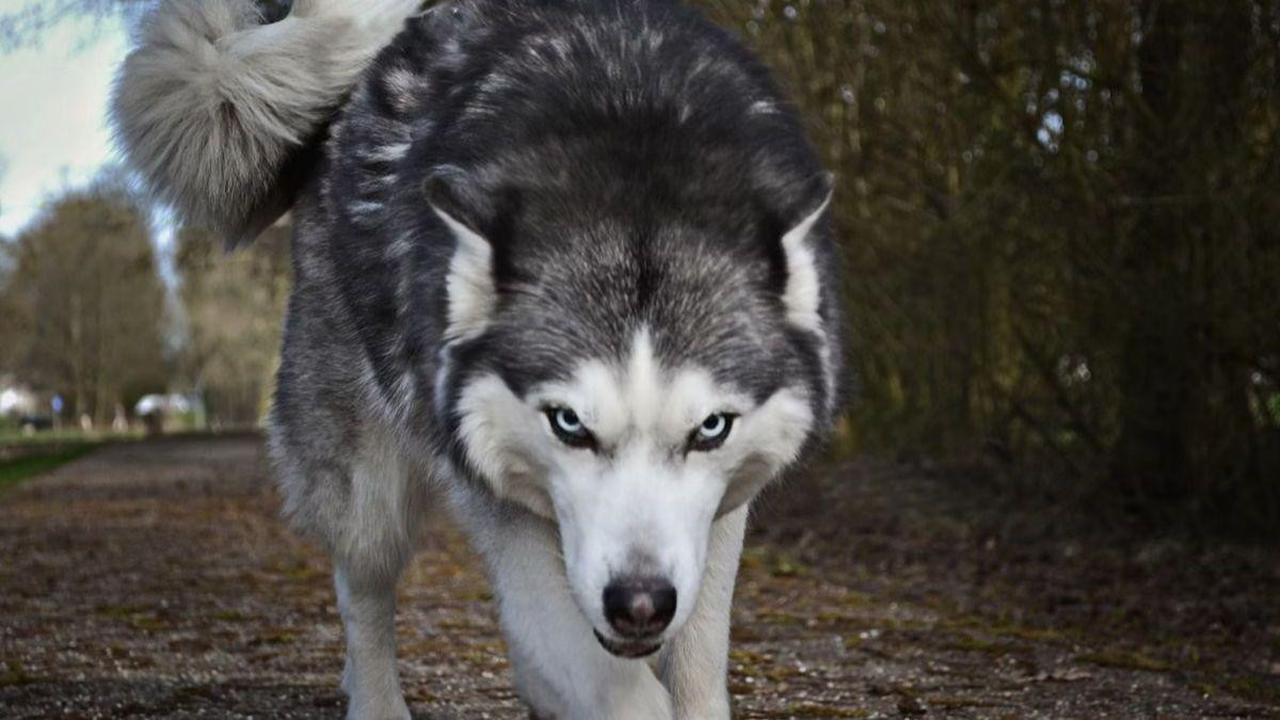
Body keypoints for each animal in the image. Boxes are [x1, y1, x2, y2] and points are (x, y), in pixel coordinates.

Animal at [113, 0, 843, 717]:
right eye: (568, 423)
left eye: (711, 428)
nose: (640, 604)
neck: (633, 141)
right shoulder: (496, 495)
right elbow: (608, 682)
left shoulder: (717, 519)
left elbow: (692, 666)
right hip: (366, 489)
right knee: (363, 592)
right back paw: (377, 702)